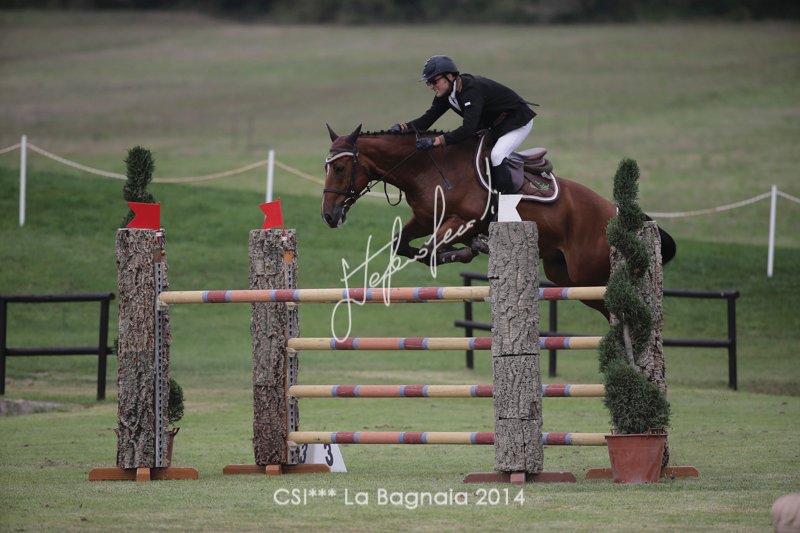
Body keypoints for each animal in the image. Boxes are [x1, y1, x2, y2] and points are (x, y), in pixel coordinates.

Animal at [321, 124, 676, 316]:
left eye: (339, 167)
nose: (329, 215)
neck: (428, 168)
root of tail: (616, 214)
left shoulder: (461, 219)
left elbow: (432, 250)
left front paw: (471, 248)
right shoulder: (423, 219)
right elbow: (405, 245)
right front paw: (468, 249)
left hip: (589, 274)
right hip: (566, 275)